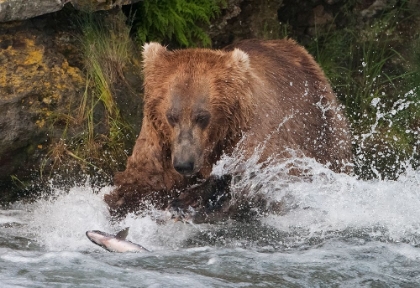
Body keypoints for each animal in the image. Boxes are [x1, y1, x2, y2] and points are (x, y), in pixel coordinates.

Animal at [103, 39, 352, 219]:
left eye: (202, 116)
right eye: (171, 116)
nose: (184, 164)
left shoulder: (253, 130)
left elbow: (272, 172)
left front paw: (191, 198)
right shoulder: (158, 137)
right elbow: (143, 178)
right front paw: (123, 200)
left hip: (322, 121)